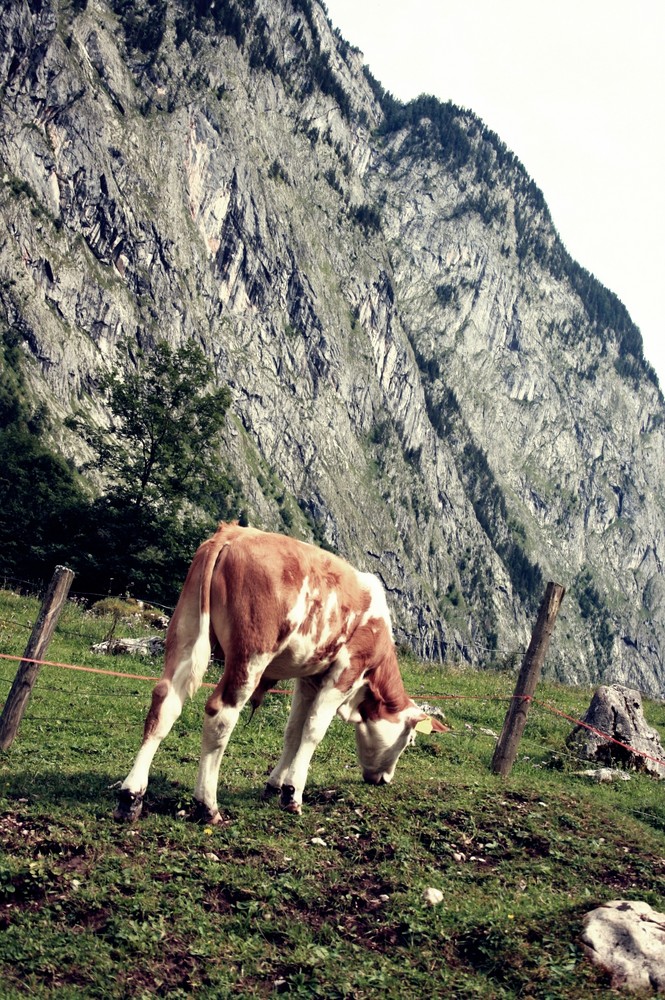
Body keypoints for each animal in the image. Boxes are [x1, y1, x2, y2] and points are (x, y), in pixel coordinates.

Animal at [114, 524, 446, 820]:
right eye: (409, 741)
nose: (385, 779)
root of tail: (234, 533)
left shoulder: (308, 677)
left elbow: (293, 731)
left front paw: (275, 786)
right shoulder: (344, 672)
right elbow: (313, 731)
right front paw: (293, 794)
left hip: (186, 632)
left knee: (165, 702)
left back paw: (131, 797)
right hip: (250, 656)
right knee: (221, 714)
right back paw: (207, 806)